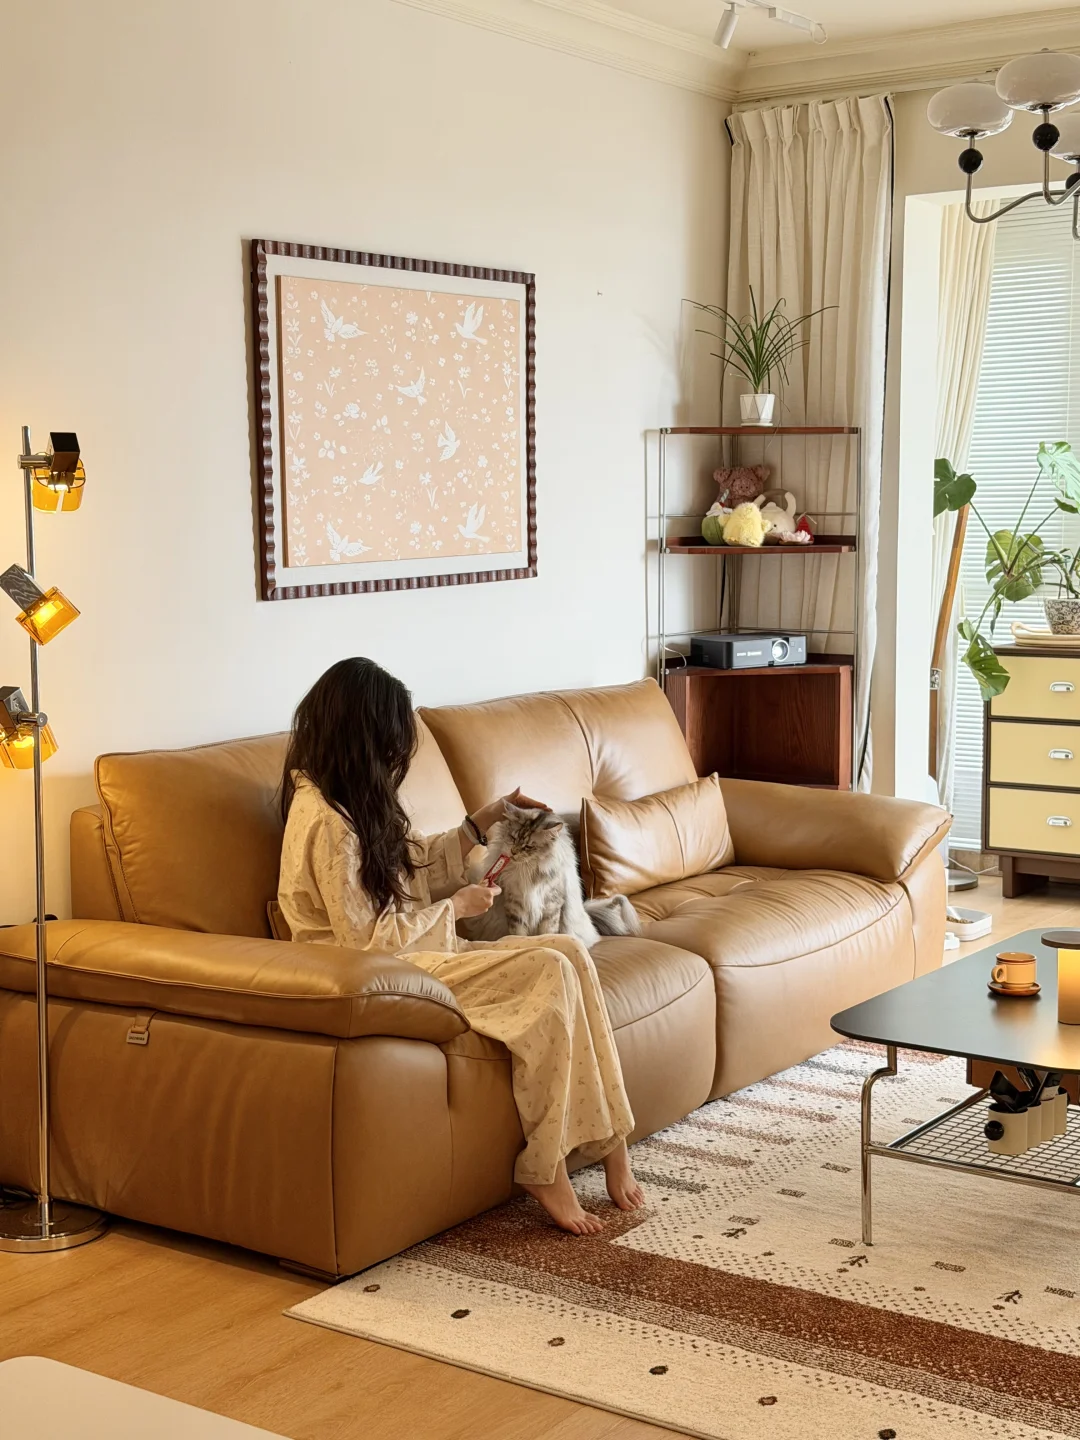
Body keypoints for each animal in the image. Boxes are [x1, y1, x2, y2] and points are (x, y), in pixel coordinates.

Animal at [459, 802, 641, 948]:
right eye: (513, 838)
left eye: (528, 847)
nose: (514, 852)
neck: (527, 870)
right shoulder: (514, 905)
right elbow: (518, 932)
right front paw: (521, 943)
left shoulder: (551, 905)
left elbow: (548, 931)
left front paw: (549, 942)